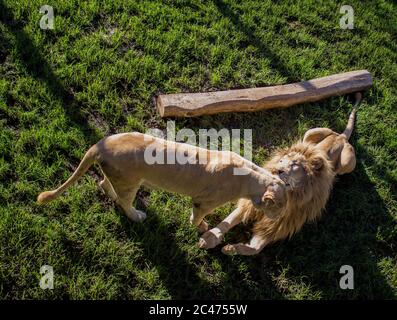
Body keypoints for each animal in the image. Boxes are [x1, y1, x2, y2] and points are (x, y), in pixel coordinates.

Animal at [37, 131, 284, 232]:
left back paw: (113, 196)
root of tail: (99, 145)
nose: (278, 218)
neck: (250, 178)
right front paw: (202, 228)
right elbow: (197, 218)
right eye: (279, 207)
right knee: (124, 202)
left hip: (118, 176)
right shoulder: (202, 202)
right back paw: (137, 216)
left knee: (104, 185)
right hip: (130, 182)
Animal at [200, 93, 360, 255]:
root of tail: (340, 137)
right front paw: (210, 237)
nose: (277, 170)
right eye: (281, 161)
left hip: (347, 163)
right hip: (310, 133)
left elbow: (255, 248)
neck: (286, 195)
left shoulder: (277, 225)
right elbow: (227, 221)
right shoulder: (248, 206)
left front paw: (231, 248)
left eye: (295, 164)